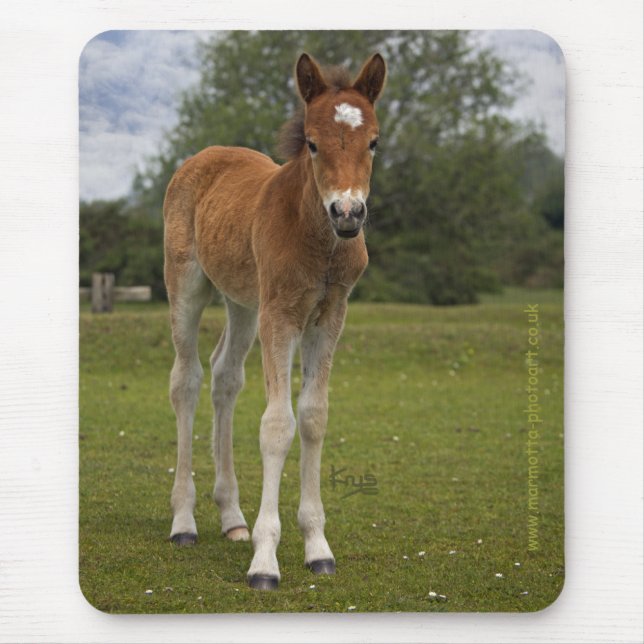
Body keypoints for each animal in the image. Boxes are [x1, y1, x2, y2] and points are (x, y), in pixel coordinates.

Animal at [163, 52, 386, 590]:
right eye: (312, 142)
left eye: (374, 142)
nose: (348, 213)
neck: (319, 240)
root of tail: (203, 156)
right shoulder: (281, 315)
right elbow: (277, 423)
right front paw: (265, 561)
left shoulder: (329, 316)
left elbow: (313, 417)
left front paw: (318, 548)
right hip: (188, 286)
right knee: (187, 379)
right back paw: (184, 521)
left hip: (244, 304)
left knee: (225, 376)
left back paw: (232, 518)